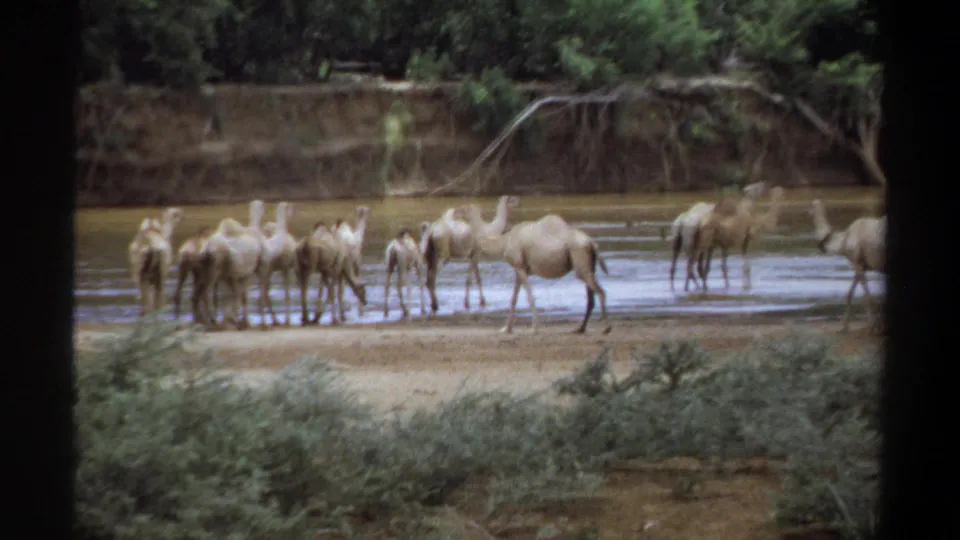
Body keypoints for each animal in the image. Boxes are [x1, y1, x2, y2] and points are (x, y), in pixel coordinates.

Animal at [197, 200, 267, 330]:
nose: (265, 211)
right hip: (215, 267)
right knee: (207, 292)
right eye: (263, 206)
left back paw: (210, 322)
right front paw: (241, 322)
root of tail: (206, 250)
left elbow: (237, 296)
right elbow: (242, 295)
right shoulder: (252, 269)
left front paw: (239, 321)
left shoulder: (234, 275)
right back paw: (213, 321)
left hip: (206, 268)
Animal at [458, 204, 610, 334]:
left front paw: (534, 328)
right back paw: (580, 329)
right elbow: (514, 299)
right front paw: (507, 328)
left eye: (462, 210)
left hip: (580, 260)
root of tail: (592, 242)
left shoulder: (519, 267)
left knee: (600, 292)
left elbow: (529, 297)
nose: (455, 213)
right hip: (588, 265)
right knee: (591, 297)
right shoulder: (520, 270)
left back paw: (606, 328)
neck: (504, 242)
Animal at [810, 199, 886, 333]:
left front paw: (872, 327)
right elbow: (850, 294)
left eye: (812, 206)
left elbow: (866, 296)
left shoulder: (857, 262)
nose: (808, 211)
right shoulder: (860, 265)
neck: (843, 241)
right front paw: (844, 326)